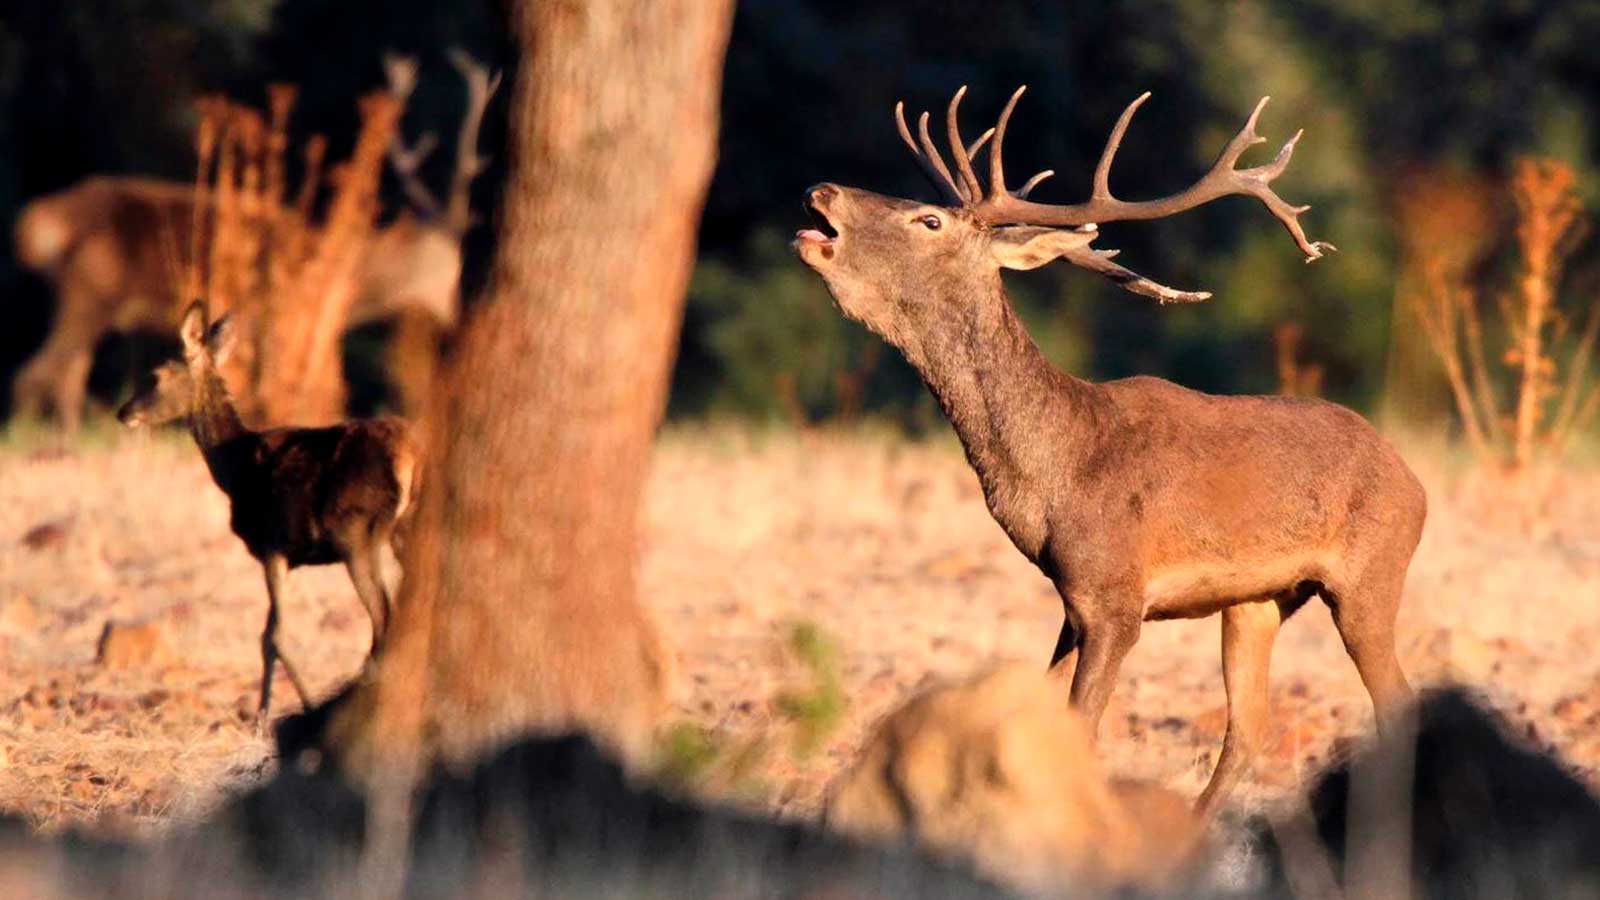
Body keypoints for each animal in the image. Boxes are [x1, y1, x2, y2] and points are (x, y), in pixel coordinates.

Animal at [119, 301, 421, 733]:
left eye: (156, 375)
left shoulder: (271, 544)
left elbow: (274, 636)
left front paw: (282, 714)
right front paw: (266, 714)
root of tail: (410, 457)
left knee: (384, 617)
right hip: (405, 530)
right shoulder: (286, 556)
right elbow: (267, 635)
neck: (233, 465)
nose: (124, 411)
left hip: (358, 535)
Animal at [796, 86, 1426, 818]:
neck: (1055, 474)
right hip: (1258, 600)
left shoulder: (1117, 596)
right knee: (1249, 728)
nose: (820, 190)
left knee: (1393, 701)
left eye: (929, 220)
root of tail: (1415, 484)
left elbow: (1082, 728)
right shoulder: (1074, 601)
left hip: (1371, 574)